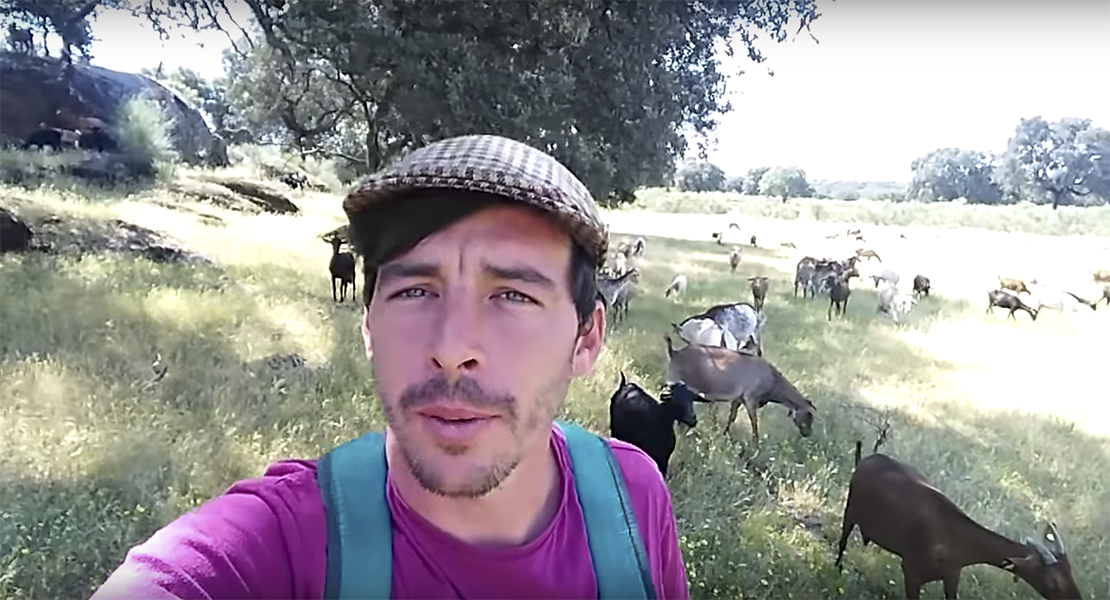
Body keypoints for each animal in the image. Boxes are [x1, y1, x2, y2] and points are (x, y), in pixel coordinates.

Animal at [657, 334, 816, 441]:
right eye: (809, 416)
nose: (808, 433)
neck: (773, 380)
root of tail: (674, 353)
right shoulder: (751, 399)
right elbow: (754, 422)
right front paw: (755, 444)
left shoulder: (738, 399)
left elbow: (732, 417)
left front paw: (724, 434)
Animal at [834, 439, 1083, 598]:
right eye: (1053, 583)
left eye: (1071, 572)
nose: (1077, 599)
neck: (956, 542)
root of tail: (865, 459)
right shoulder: (910, 569)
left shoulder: (952, 575)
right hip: (850, 510)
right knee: (842, 541)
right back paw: (837, 569)